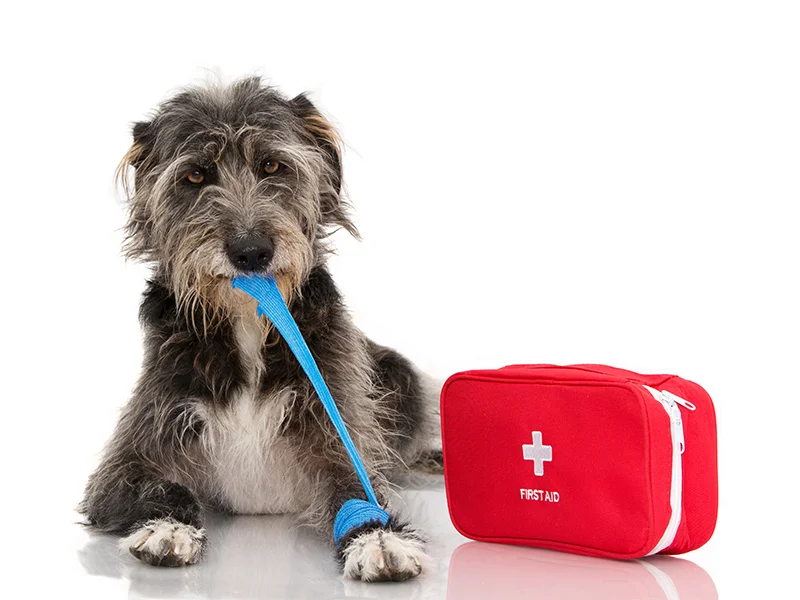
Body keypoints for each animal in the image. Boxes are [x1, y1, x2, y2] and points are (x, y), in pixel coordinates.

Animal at [79, 76, 444, 580]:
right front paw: (168, 528)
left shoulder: (339, 440)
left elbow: (356, 490)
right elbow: (164, 489)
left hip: (399, 375)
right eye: (195, 176)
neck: (248, 322)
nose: (251, 252)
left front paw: (378, 539)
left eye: (271, 165)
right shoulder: (120, 469)